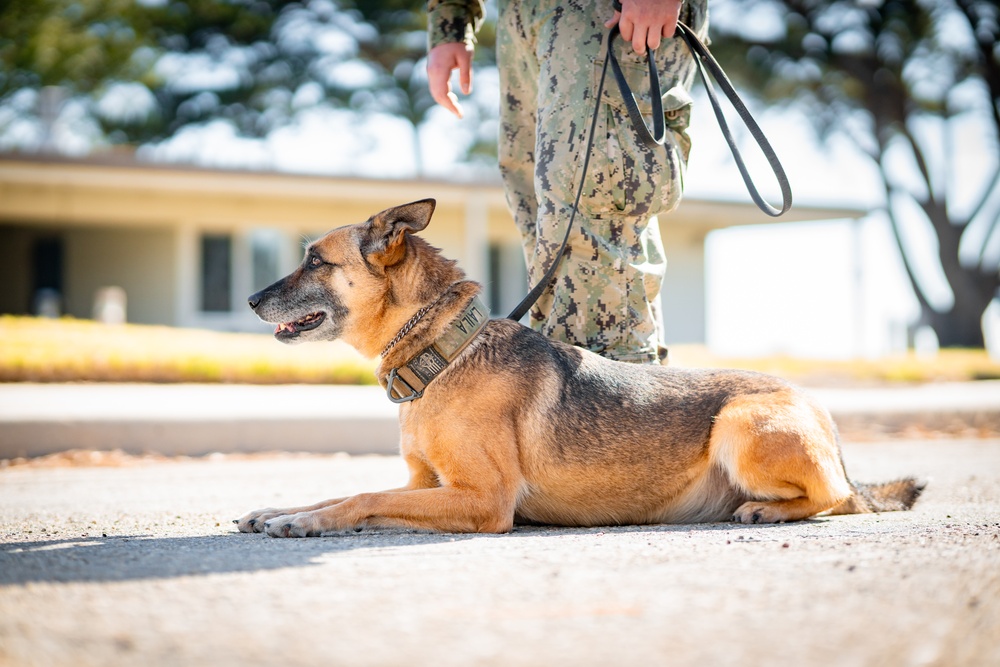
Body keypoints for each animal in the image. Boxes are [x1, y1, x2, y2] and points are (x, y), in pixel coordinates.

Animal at [234, 198, 920, 536]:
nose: (249, 299)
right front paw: (282, 509)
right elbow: (350, 489)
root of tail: (826, 423)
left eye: (314, 260)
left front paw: (304, 522)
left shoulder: (483, 501)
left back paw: (771, 510)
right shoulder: (425, 485)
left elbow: (362, 496)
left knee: (840, 499)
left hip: (742, 420)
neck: (445, 352)